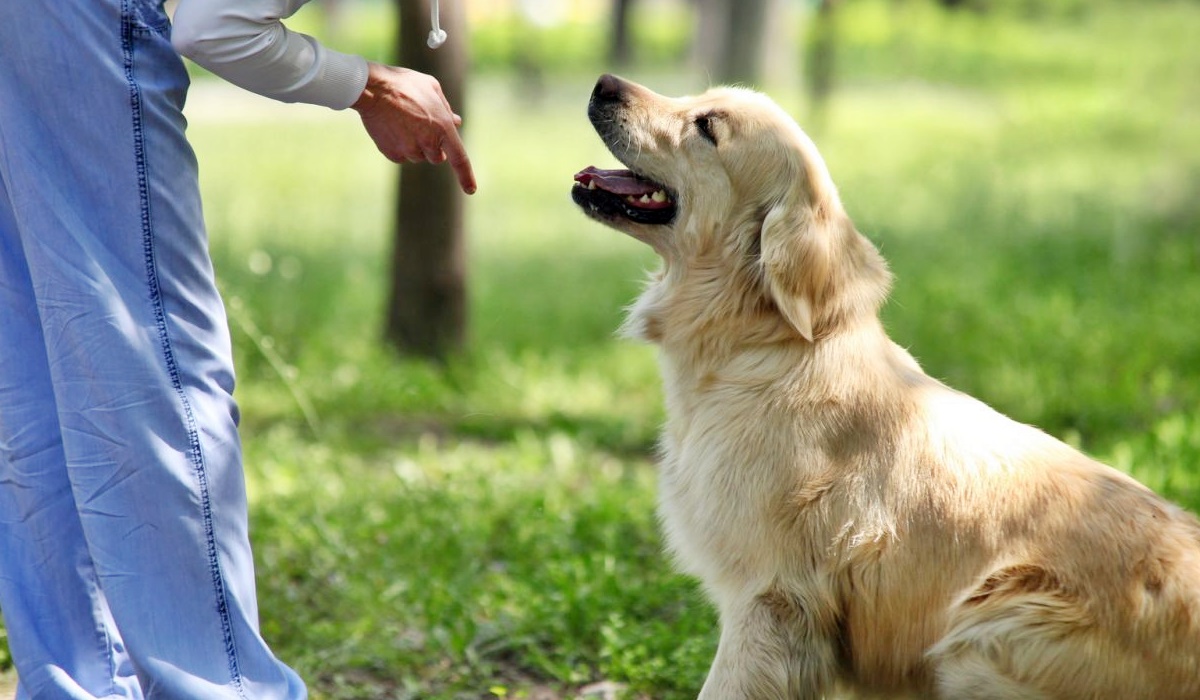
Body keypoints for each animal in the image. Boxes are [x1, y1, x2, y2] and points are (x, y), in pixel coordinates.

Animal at [568, 73, 1200, 696]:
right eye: (697, 97)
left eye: (707, 127)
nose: (602, 83)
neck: (764, 346)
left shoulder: (770, 599)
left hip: (984, 631)